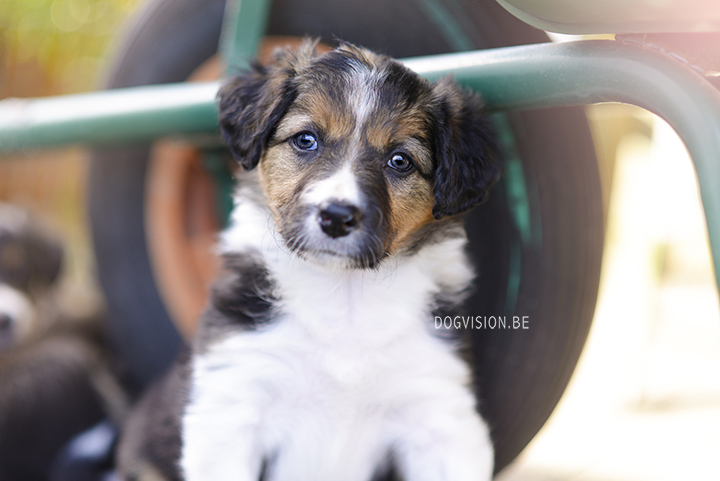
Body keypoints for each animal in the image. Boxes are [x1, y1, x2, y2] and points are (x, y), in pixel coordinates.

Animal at [118, 40, 500, 480]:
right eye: (305, 139)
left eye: (400, 160)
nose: (335, 217)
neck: (344, 298)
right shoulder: (233, 399)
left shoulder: (438, 413)